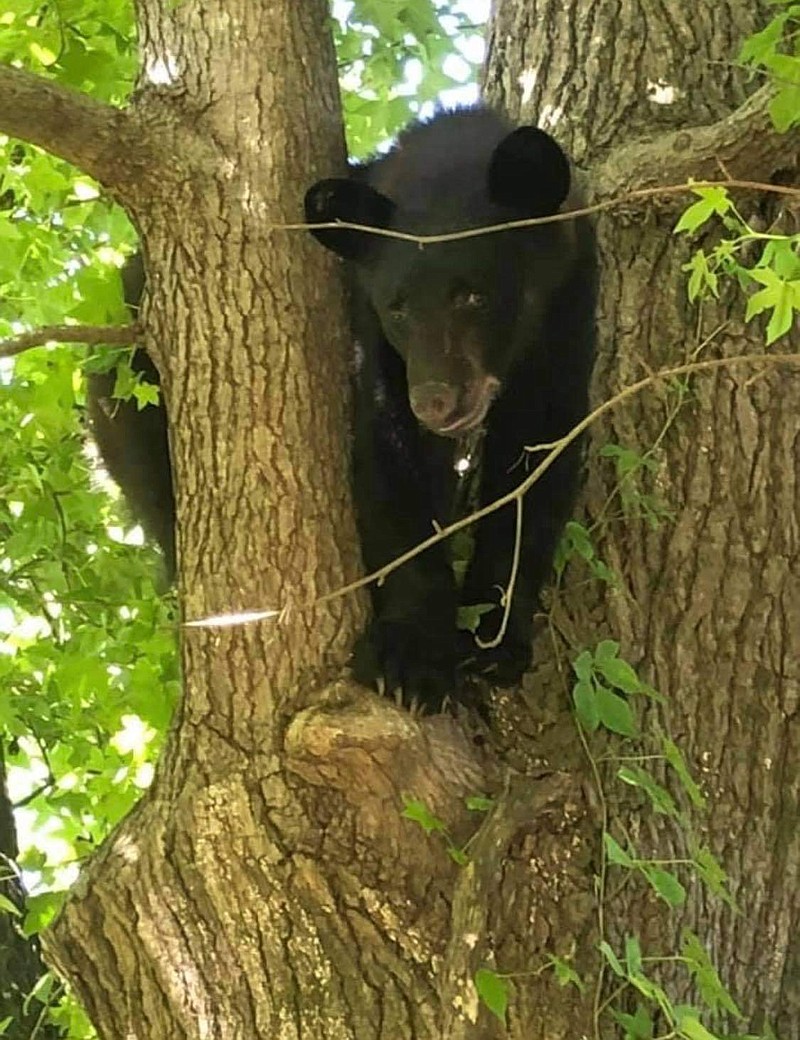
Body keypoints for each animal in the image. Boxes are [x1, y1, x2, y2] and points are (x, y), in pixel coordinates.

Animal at [303, 109, 590, 715]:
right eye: (398, 307)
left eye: (473, 295)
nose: (434, 398)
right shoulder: (375, 344)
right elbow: (391, 458)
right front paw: (411, 660)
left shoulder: (565, 314)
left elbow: (536, 461)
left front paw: (493, 639)